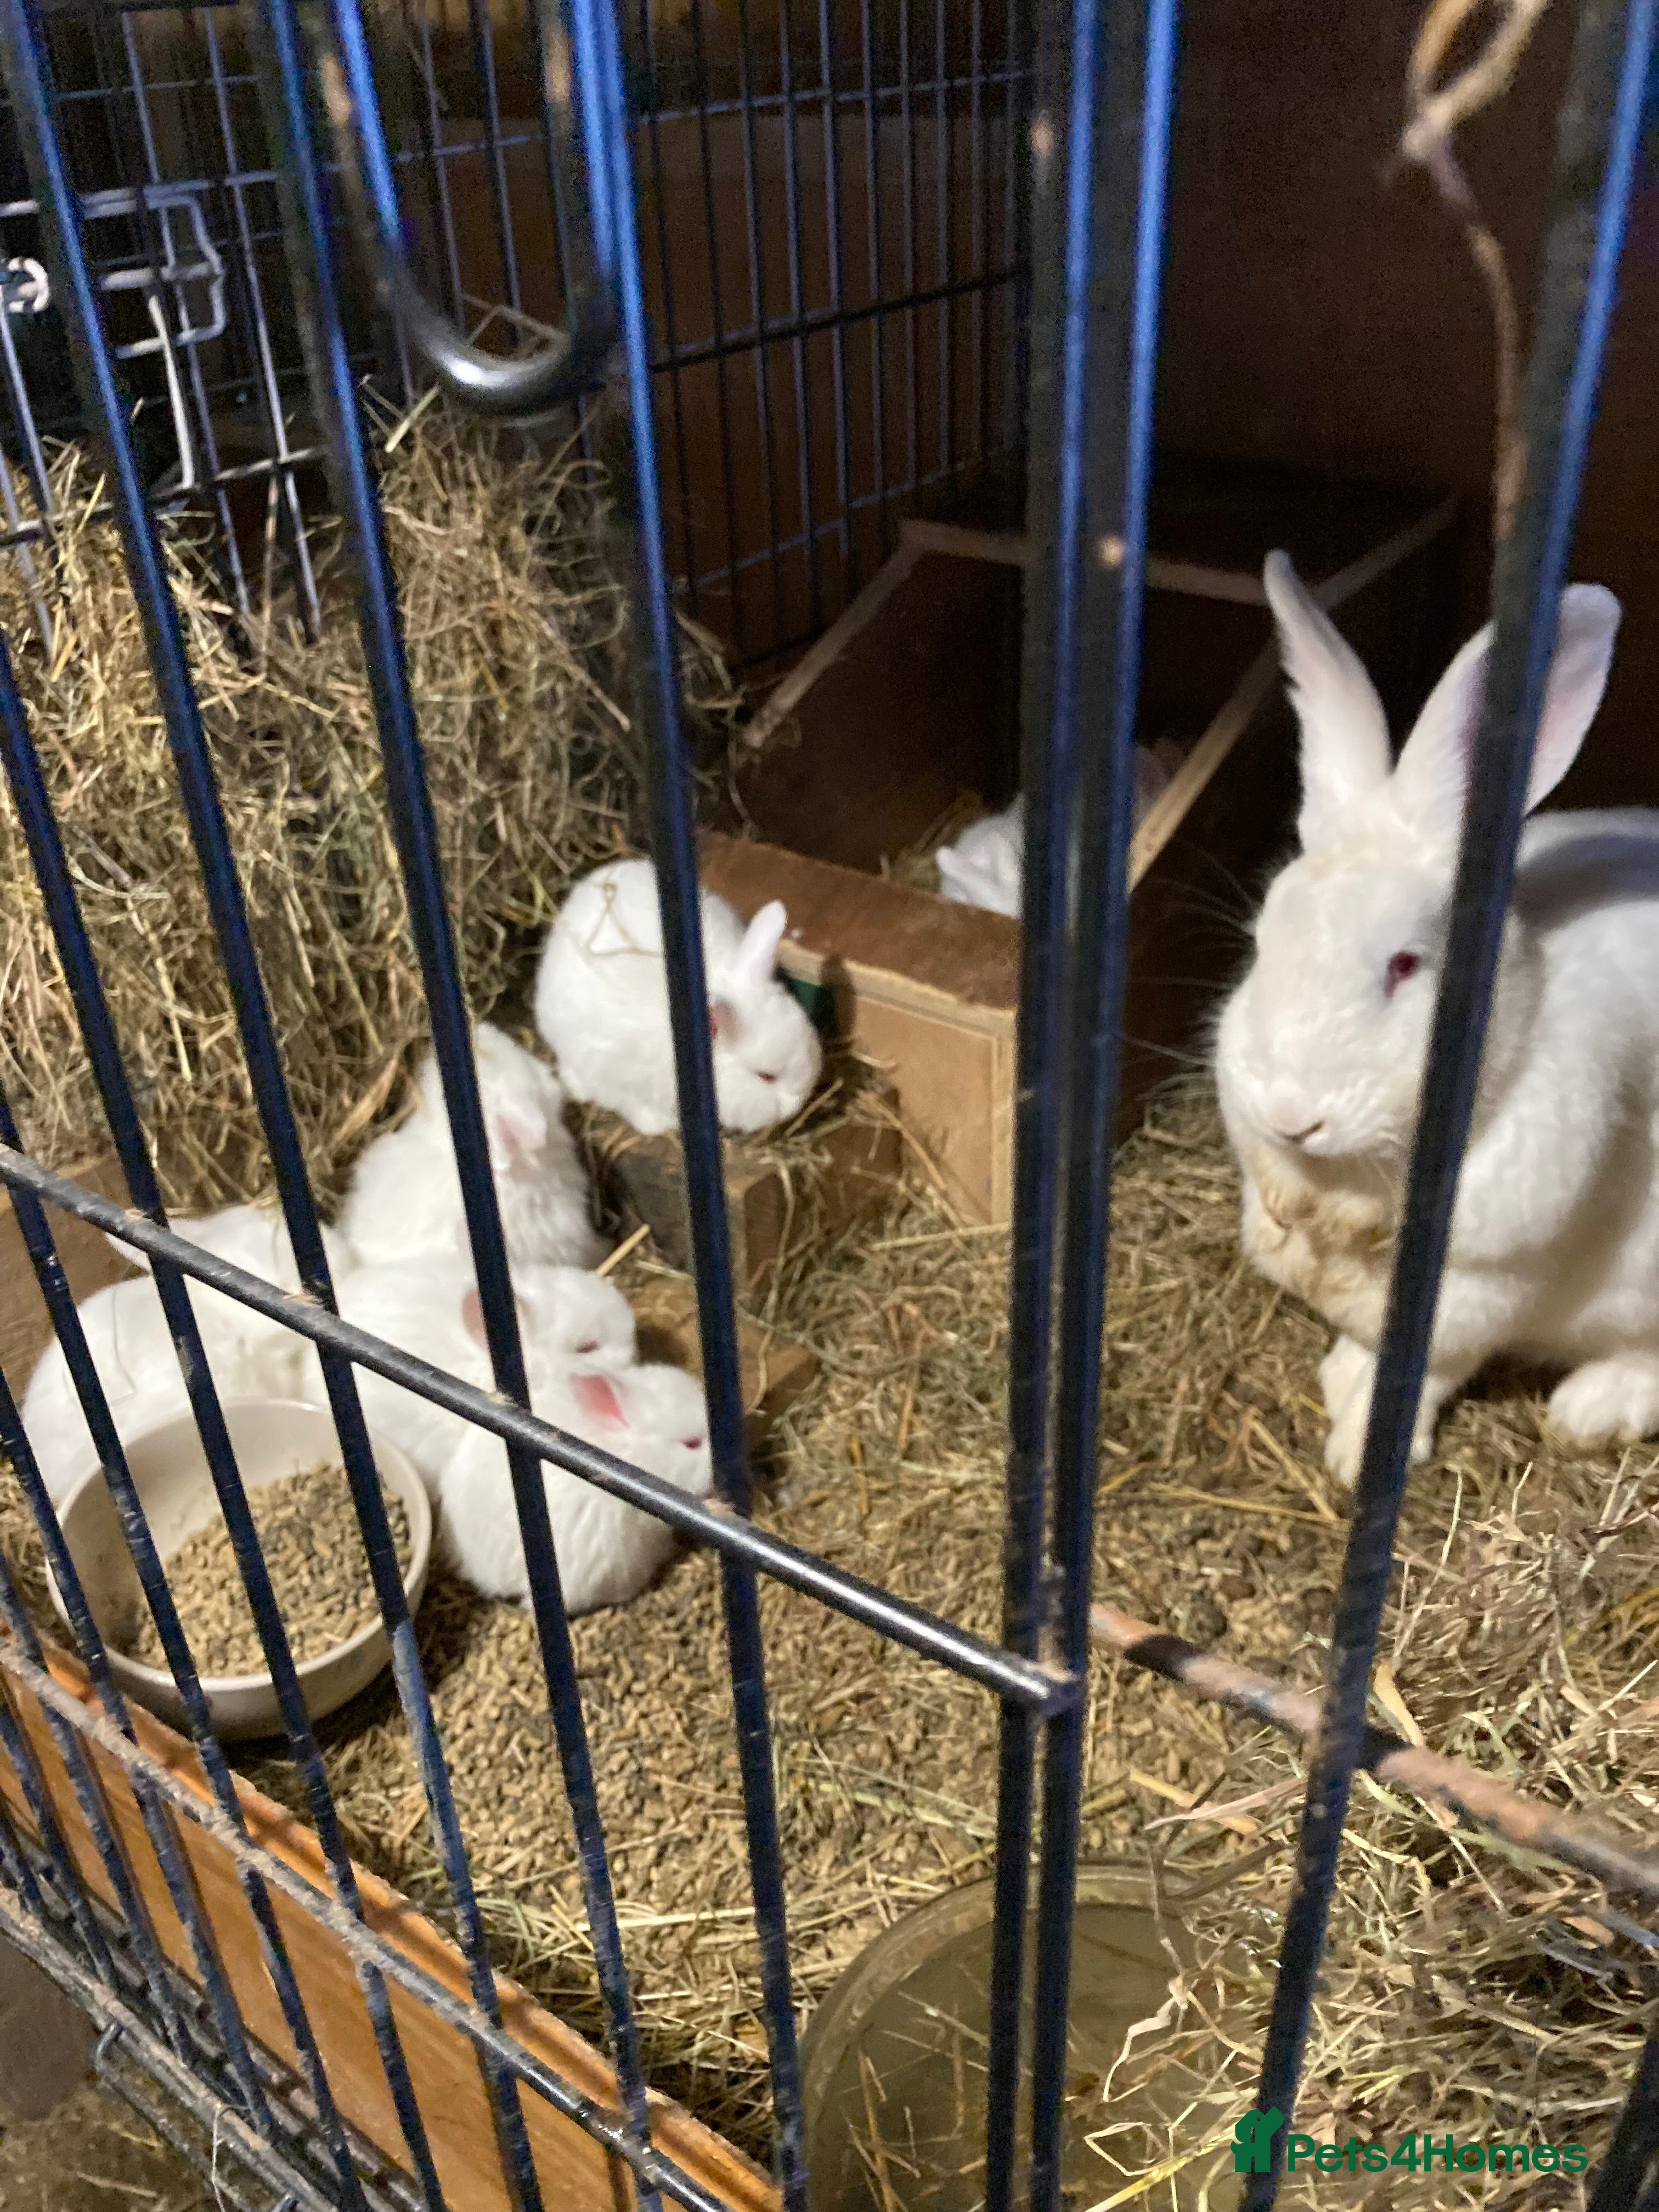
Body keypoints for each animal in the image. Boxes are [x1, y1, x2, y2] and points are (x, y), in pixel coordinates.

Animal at [1214, 547, 1653, 1486]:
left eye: (1407, 966)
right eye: (1263, 938)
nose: (1293, 1115)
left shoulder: (1477, 1281)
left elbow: (1426, 1372)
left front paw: (1357, 1455)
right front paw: (1297, 1236)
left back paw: (1590, 1409)